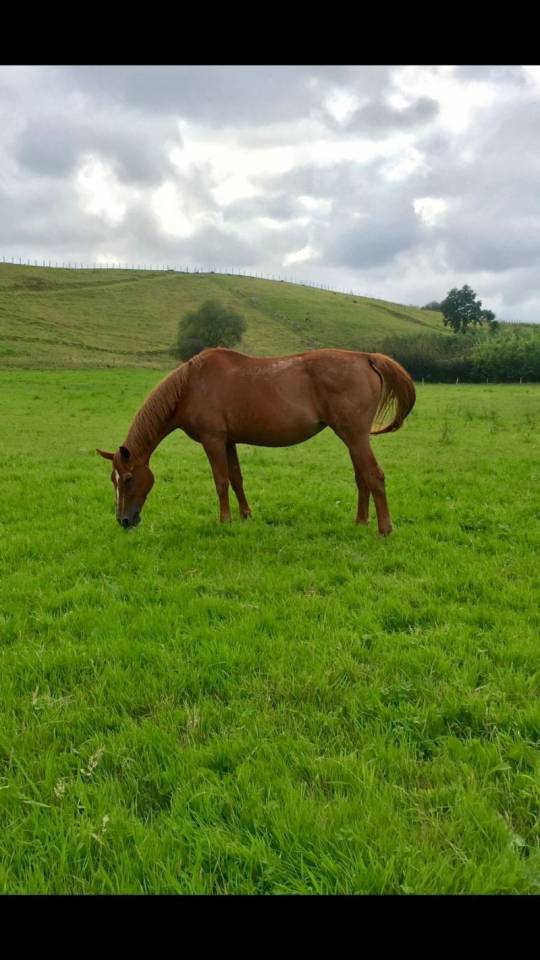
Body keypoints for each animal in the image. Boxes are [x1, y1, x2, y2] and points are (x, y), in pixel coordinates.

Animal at [97, 347, 416, 536]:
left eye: (127, 479)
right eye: (114, 480)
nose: (124, 521)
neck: (190, 386)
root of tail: (365, 357)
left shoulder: (213, 440)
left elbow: (221, 482)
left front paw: (225, 520)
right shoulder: (228, 441)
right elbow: (236, 478)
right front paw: (245, 515)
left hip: (355, 436)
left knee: (374, 476)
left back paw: (385, 529)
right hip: (352, 438)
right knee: (362, 478)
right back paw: (361, 522)